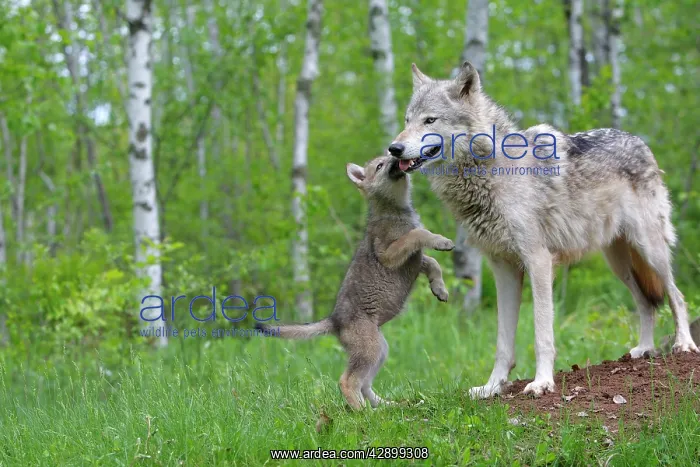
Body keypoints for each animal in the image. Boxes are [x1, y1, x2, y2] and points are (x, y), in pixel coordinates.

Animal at [258, 155, 454, 409]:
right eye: (380, 166)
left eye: (388, 157)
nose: (395, 152)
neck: (396, 211)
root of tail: (334, 320)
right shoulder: (391, 255)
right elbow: (418, 234)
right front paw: (441, 241)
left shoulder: (415, 261)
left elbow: (433, 263)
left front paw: (440, 289)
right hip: (371, 349)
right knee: (347, 381)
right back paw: (363, 412)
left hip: (379, 349)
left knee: (364, 384)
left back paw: (384, 407)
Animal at [388, 61, 699, 398]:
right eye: (407, 120)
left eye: (430, 120)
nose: (394, 148)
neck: (492, 173)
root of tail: (638, 140)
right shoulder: (503, 268)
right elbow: (502, 342)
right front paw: (492, 387)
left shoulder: (538, 261)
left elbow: (541, 334)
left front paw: (541, 382)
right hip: (619, 265)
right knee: (646, 303)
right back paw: (644, 349)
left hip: (650, 251)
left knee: (676, 295)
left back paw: (684, 344)